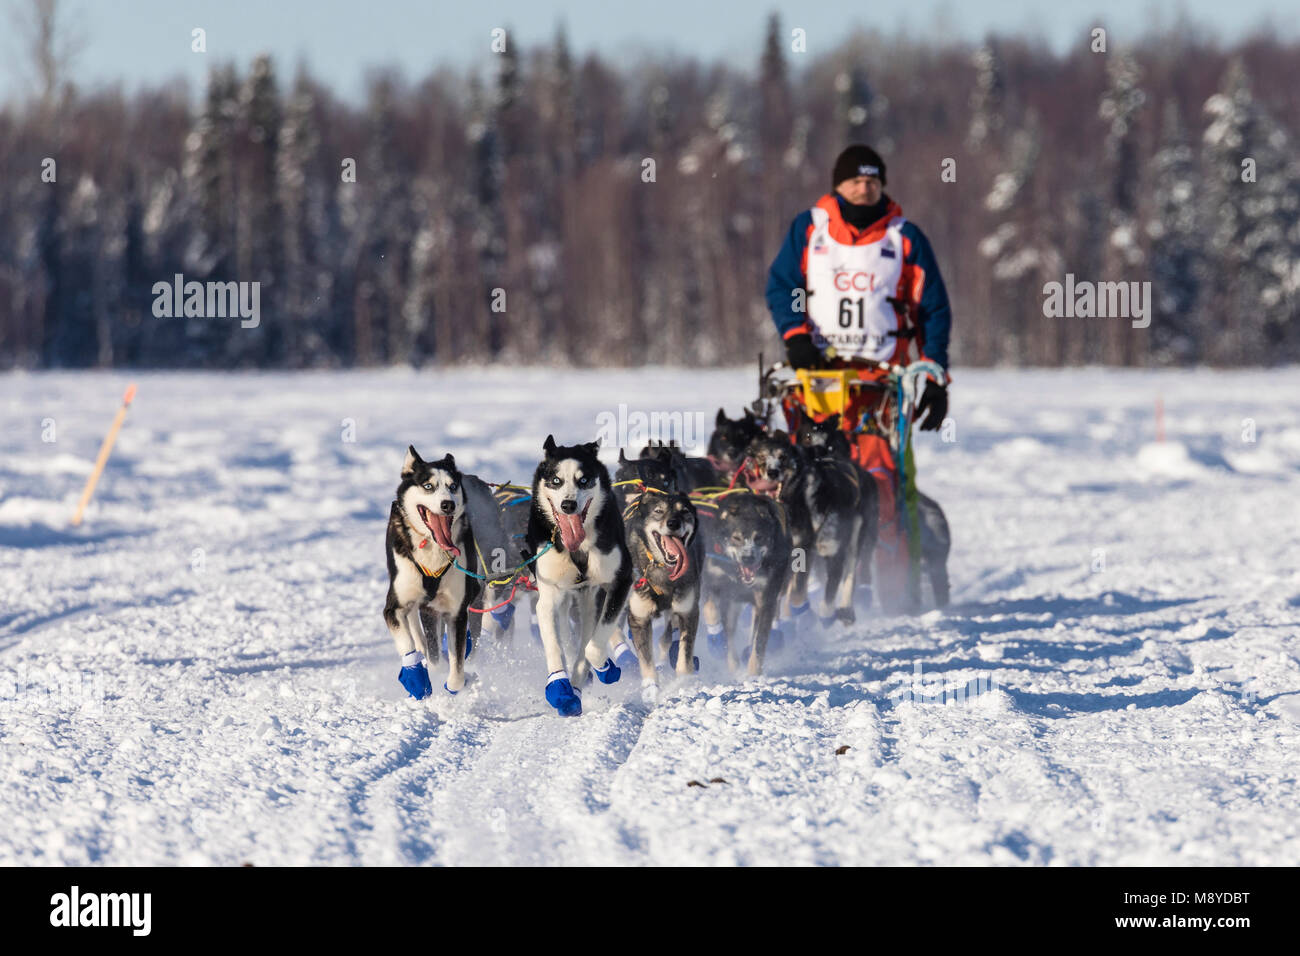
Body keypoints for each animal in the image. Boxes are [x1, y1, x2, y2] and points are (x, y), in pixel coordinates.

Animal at [384, 444, 488, 697]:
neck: (432, 549)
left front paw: (456, 683)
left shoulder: (456, 612)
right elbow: (409, 645)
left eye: (452, 486)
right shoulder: (395, 607)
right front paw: (416, 677)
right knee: (417, 632)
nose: (447, 504)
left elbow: (456, 667)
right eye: (428, 486)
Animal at [522, 437, 634, 712]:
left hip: (590, 598)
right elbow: (554, 644)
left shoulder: (620, 580)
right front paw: (559, 687)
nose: (568, 505)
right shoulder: (549, 595)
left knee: (587, 638)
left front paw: (604, 666)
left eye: (584, 480)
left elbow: (593, 646)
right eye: (556, 480)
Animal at [624, 489, 707, 686]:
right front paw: (651, 688)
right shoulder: (639, 618)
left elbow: (684, 655)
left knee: (667, 637)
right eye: (659, 511)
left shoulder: (688, 612)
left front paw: (684, 682)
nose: (673, 523)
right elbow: (646, 662)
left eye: (684, 511)